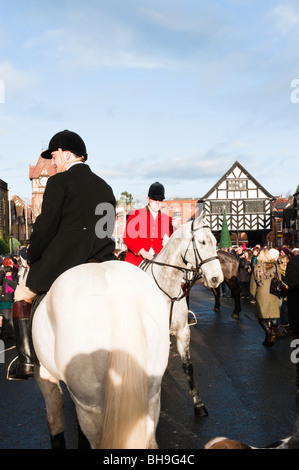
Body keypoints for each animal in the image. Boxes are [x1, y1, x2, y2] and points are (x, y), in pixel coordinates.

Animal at [140, 213, 223, 414]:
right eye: (202, 242)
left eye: (215, 240)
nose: (217, 278)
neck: (167, 289)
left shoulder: (183, 332)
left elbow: (188, 367)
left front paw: (198, 403)